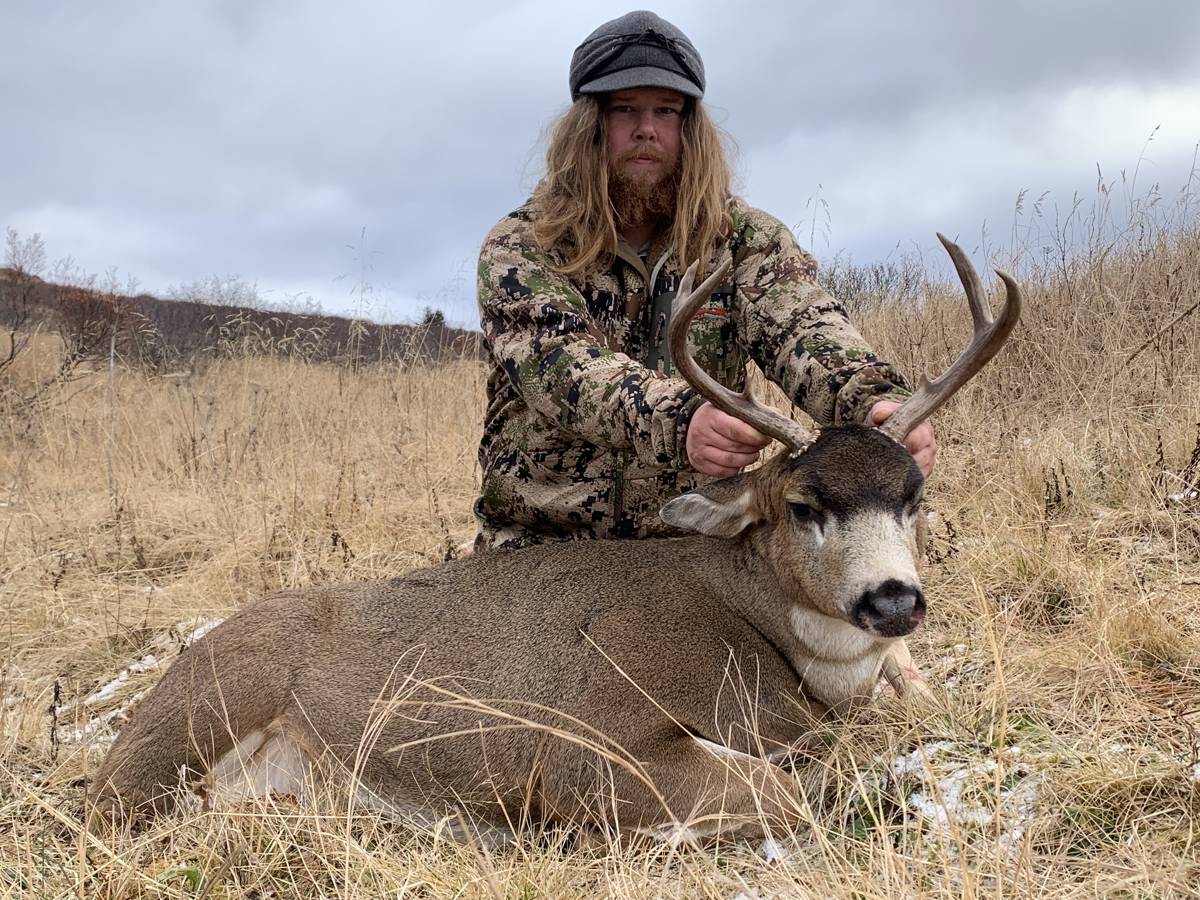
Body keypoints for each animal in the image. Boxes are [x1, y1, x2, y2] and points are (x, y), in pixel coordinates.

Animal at [88, 236, 1017, 849]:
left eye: (914, 495)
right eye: (799, 505)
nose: (893, 600)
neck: (764, 637)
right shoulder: (586, 743)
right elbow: (784, 796)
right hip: (192, 721)